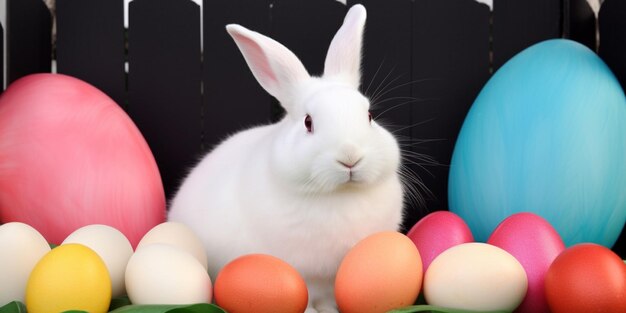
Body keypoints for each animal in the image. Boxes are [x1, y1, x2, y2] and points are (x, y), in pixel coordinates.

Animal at [168, 4, 402, 310]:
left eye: (370, 115)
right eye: (308, 122)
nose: (350, 157)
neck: (340, 195)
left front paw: (330, 310)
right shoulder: (303, 272)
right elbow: (304, 295)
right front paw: (313, 311)